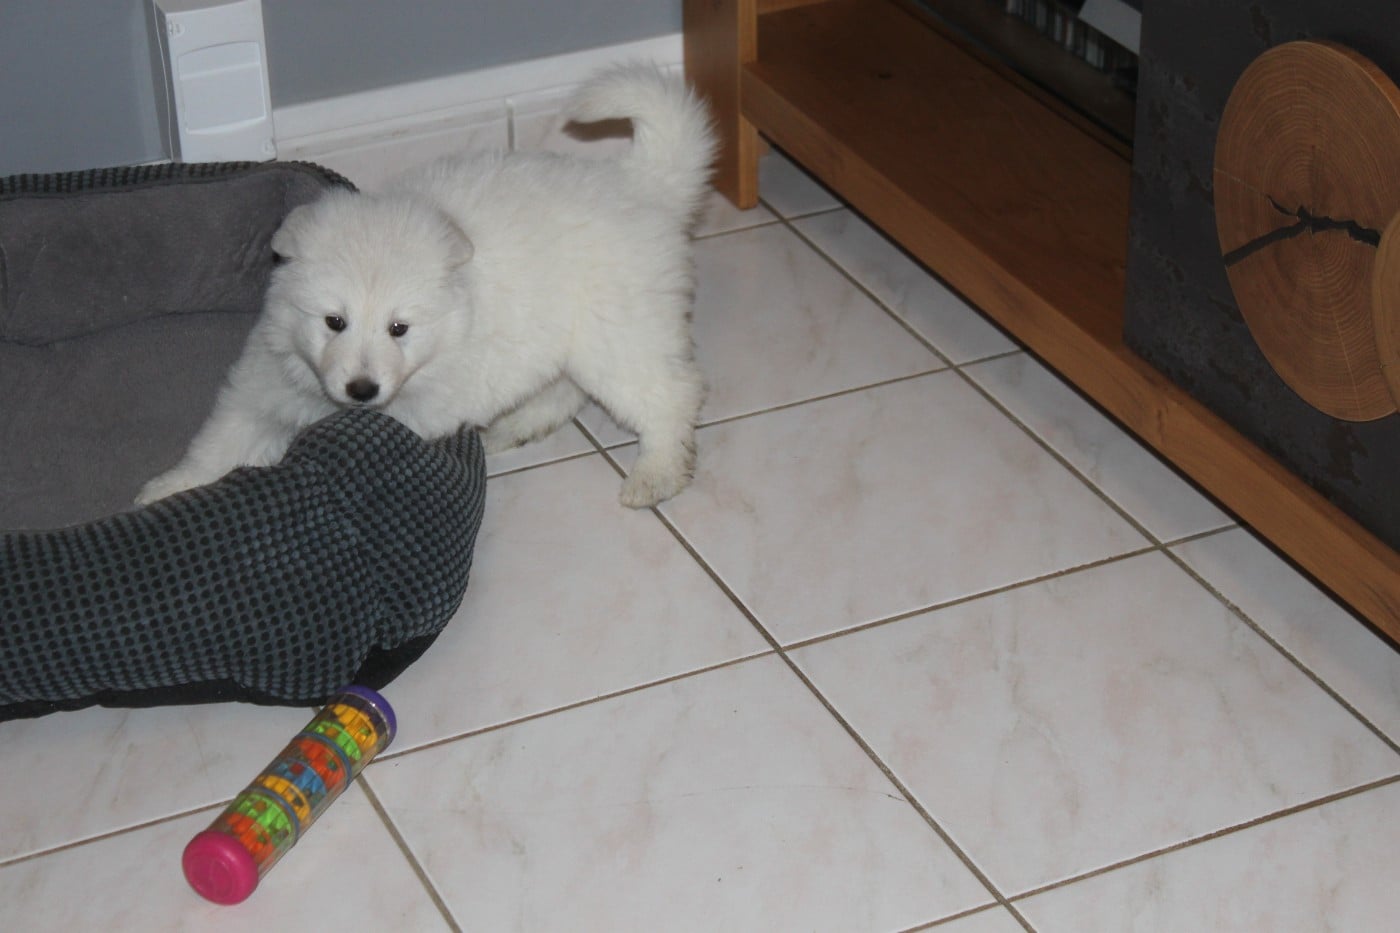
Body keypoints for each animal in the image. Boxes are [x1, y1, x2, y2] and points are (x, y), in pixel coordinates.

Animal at [137, 63, 717, 509]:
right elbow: (219, 442)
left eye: (399, 328)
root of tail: (640, 183)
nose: (362, 390)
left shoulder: (416, 409)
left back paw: (657, 474)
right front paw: (164, 491)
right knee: (565, 390)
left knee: (669, 394)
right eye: (334, 321)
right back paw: (515, 427)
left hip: (618, 334)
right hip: (570, 339)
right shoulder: (262, 384)